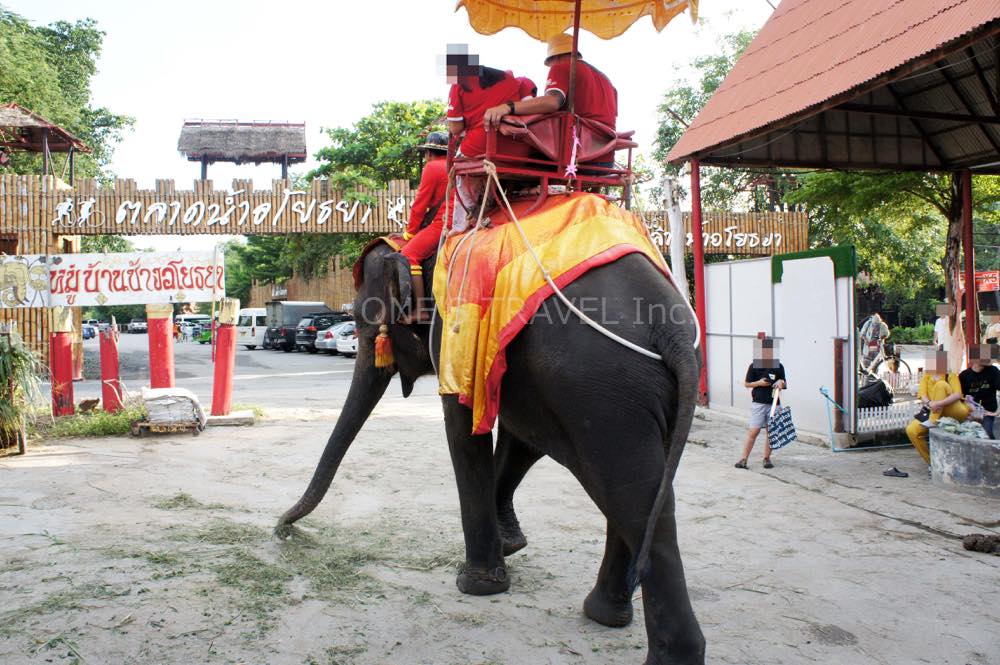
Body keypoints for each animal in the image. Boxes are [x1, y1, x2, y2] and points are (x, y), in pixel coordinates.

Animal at [278, 231, 708, 660]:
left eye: (363, 320)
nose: (282, 530)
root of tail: (672, 335)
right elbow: (522, 438)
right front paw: (512, 545)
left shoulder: (457, 332)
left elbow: (466, 427)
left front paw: (477, 583)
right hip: (644, 395)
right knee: (645, 490)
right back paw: (605, 614)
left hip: (602, 390)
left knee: (630, 494)